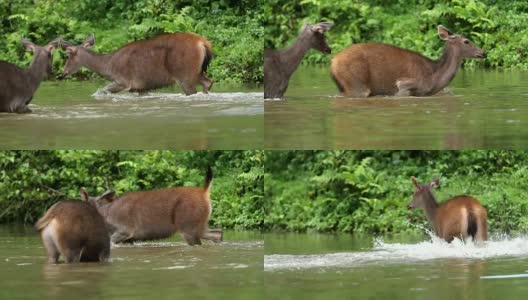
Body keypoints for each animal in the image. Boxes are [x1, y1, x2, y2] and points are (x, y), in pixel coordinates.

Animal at [59, 32, 212, 94]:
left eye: (67, 56)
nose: (63, 73)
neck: (108, 67)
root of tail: (203, 43)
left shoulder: (124, 81)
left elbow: (102, 90)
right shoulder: (141, 87)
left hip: (184, 74)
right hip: (196, 72)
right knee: (208, 82)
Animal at [80, 166, 223, 246]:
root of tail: (204, 191)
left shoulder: (125, 230)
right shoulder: (129, 239)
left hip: (188, 224)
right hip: (198, 224)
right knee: (218, 233)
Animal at [330, 25, 486, 97]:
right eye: (467, 41)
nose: (483, 53)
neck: (433, 77)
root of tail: (333, 62)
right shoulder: (404, 84)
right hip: (356, 83)